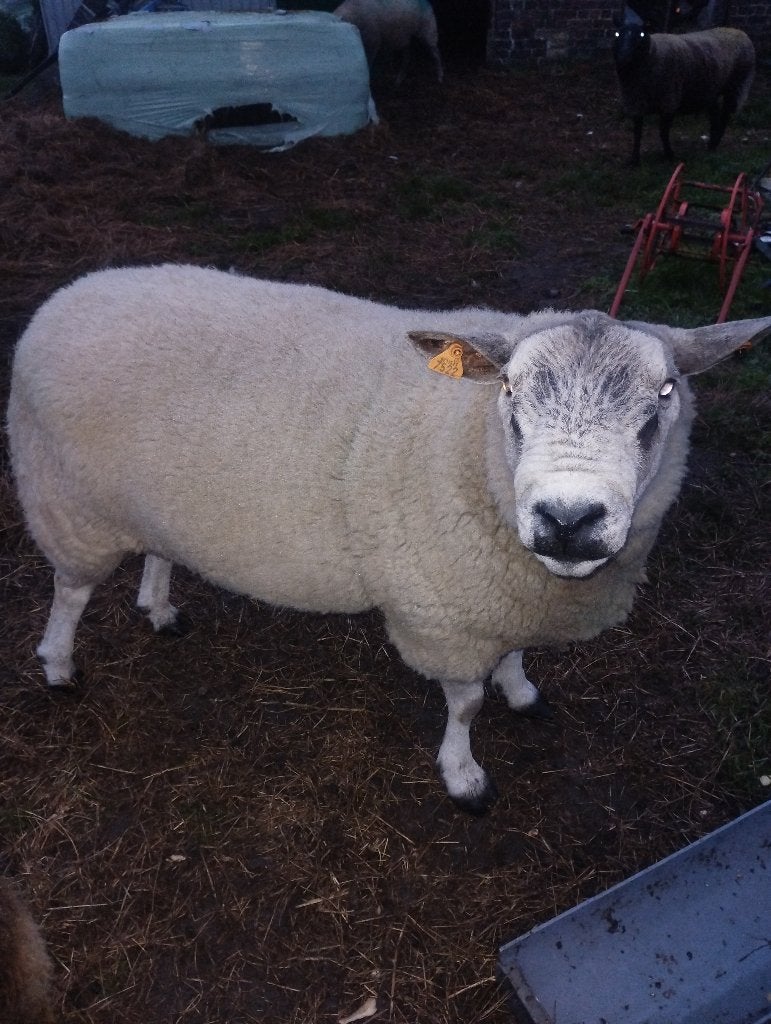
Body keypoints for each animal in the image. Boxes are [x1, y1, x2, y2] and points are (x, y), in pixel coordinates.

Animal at [7, 264, 771, 813]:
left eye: (666, 393)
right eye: (509, 391)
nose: (567, 519)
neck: (471, 446)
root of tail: (68, 295)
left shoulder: (502, 599)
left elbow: (513, 656)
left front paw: (521, 690)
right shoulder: (443, 613)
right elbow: (465, 704)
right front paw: (464, 776)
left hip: (155, 501)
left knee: (159, 550)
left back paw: (160, 608)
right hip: (69, 501)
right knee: (70, 591)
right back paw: (59, 665)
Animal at [612, 22, 755, 165]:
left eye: (641, 34)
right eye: (617, 34)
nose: (623, 57)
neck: (653, 52)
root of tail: (740, 32)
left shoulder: (669, 101)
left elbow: (663, 132)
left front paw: (669, 155)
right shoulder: (636, 102)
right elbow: (637, 133)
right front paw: (634, 160)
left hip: (736, 86)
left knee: (725, 115)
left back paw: (715, 143)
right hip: (711, 89)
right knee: (714, 115)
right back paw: (710, 145)